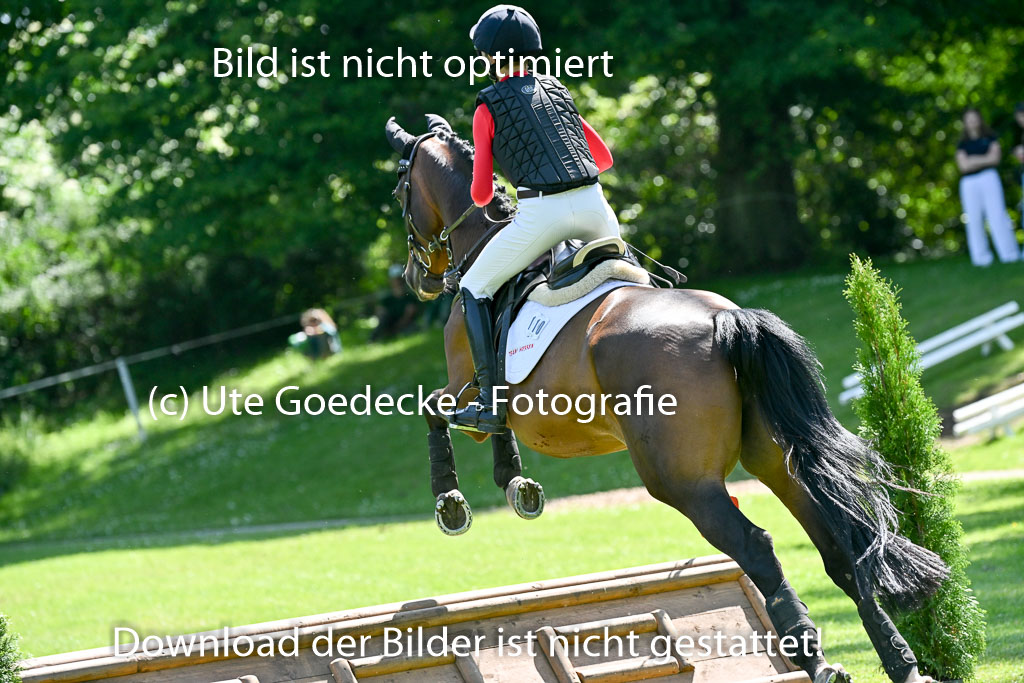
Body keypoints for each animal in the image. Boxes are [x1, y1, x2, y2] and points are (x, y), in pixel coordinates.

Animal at [384, 114, 948, 683]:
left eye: (399, 191)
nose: (416, 278)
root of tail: (725, 319)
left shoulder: (465, 386)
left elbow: (441, 413)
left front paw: (456, 501)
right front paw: (518, 487)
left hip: (683, 483)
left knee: (757, 546)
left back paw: (814, 660)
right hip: (774, 459)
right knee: (840, 547)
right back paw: (900, 664)